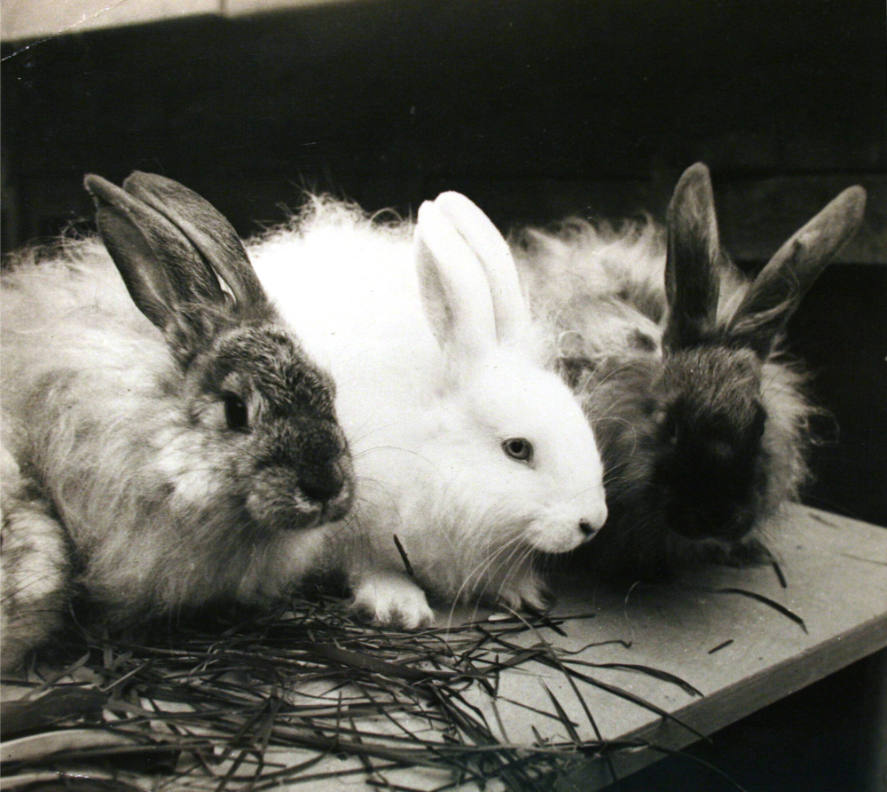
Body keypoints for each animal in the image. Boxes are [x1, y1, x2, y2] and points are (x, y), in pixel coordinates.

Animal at [253, 190, 608, 624]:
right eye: (517, 449)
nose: (592, 522)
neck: (423, 453)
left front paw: (522, 591)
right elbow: (370, 564)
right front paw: (399, 605)